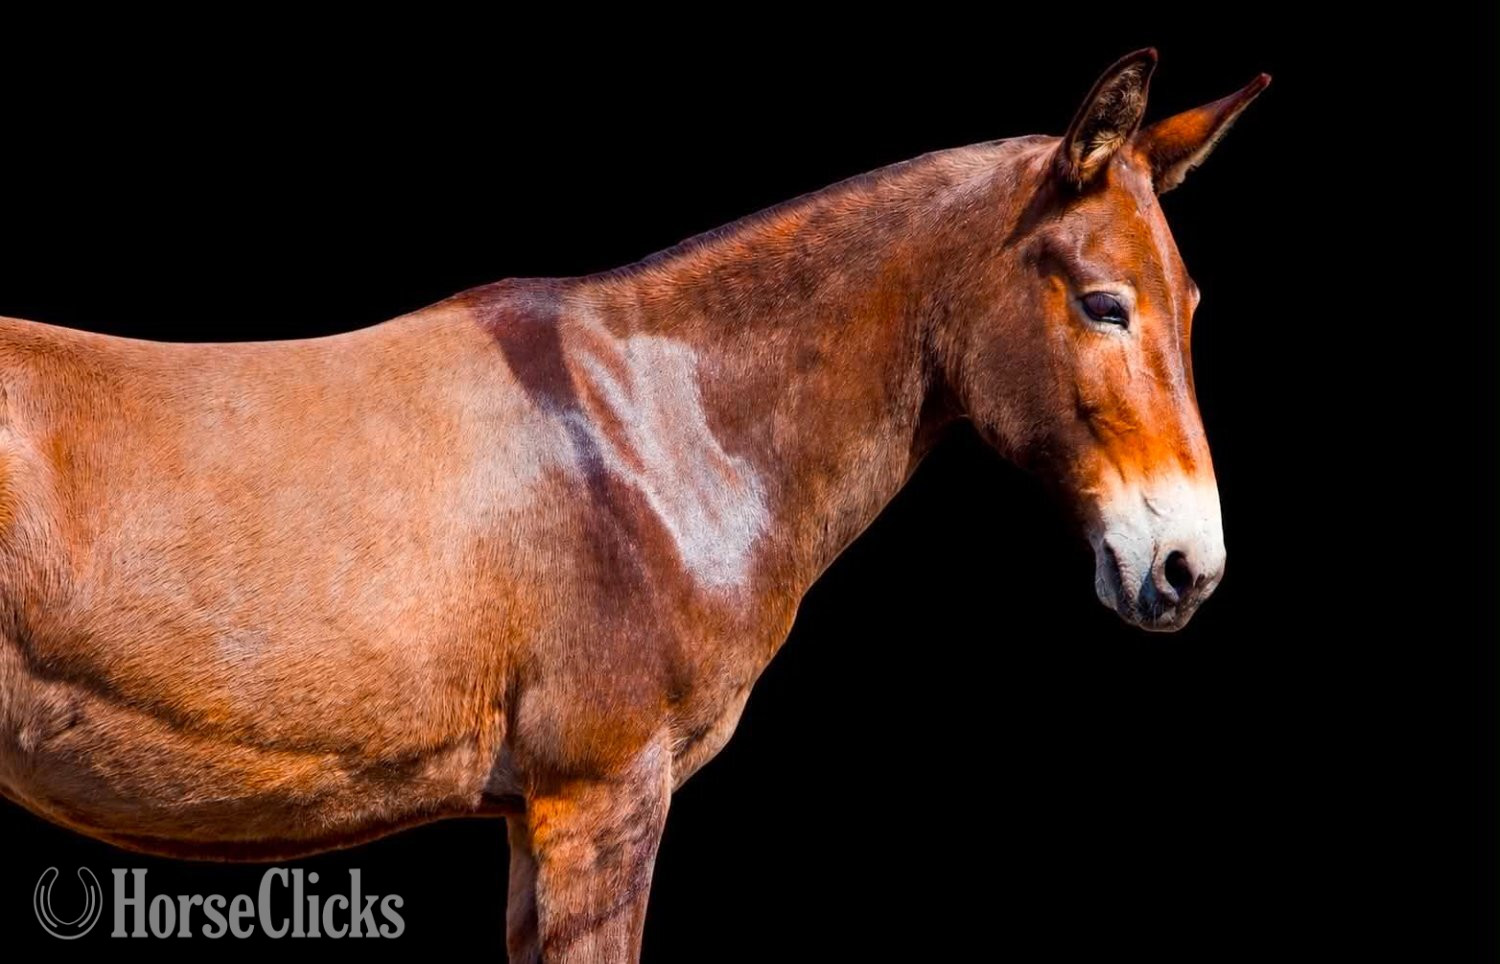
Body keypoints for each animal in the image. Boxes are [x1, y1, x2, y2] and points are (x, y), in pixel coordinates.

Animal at [0, 49, 1266, 960]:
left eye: (1195, 303)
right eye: (1103, 305)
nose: (1186, 567)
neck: (655, 433)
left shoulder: (536, 820)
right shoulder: (597, 802)